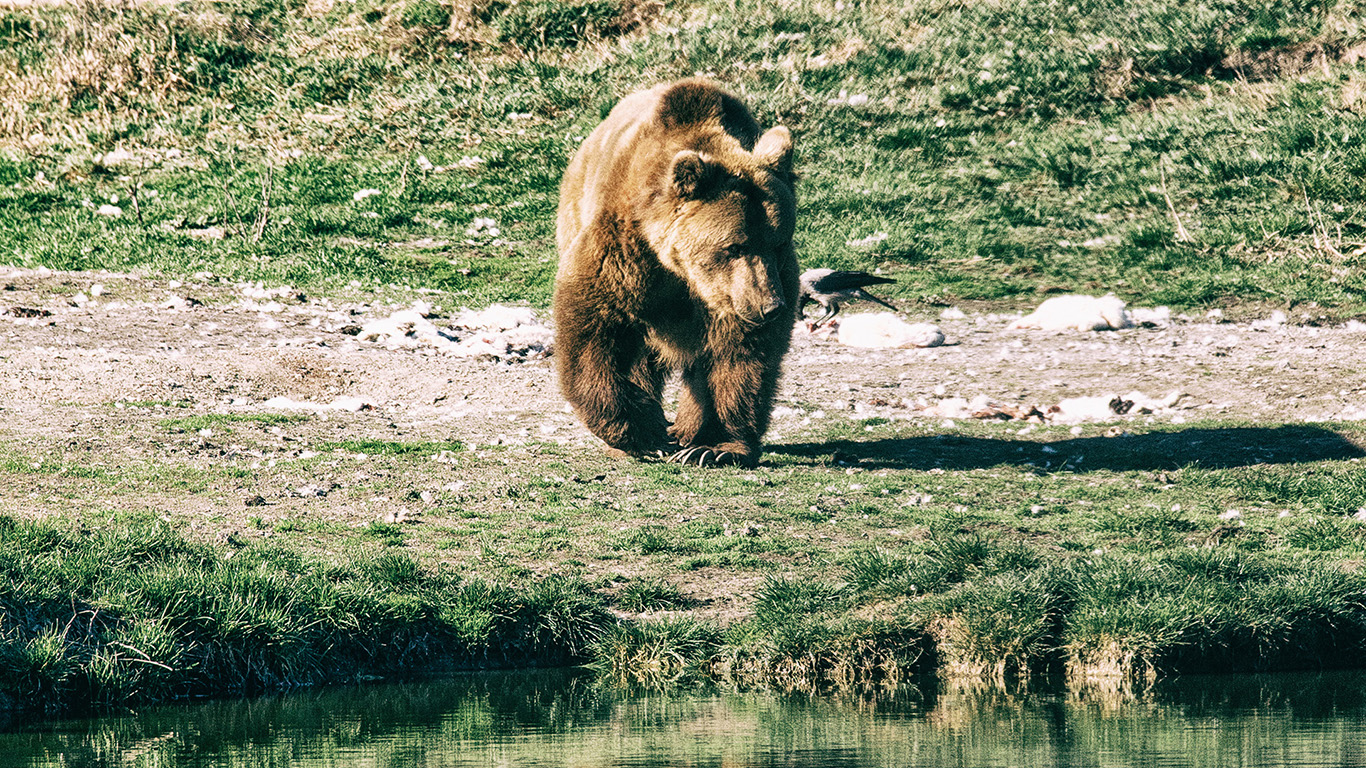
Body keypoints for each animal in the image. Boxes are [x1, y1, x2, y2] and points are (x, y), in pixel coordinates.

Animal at [549, 82, 797, 467]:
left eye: (779, 242)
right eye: (734, 246)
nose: (771, 306)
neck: (681, 269)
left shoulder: (736, 293)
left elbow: (741, 355)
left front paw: (716, 447)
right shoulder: (625, 251)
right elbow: (594, 327)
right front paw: (640, 432)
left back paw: (686, 434)